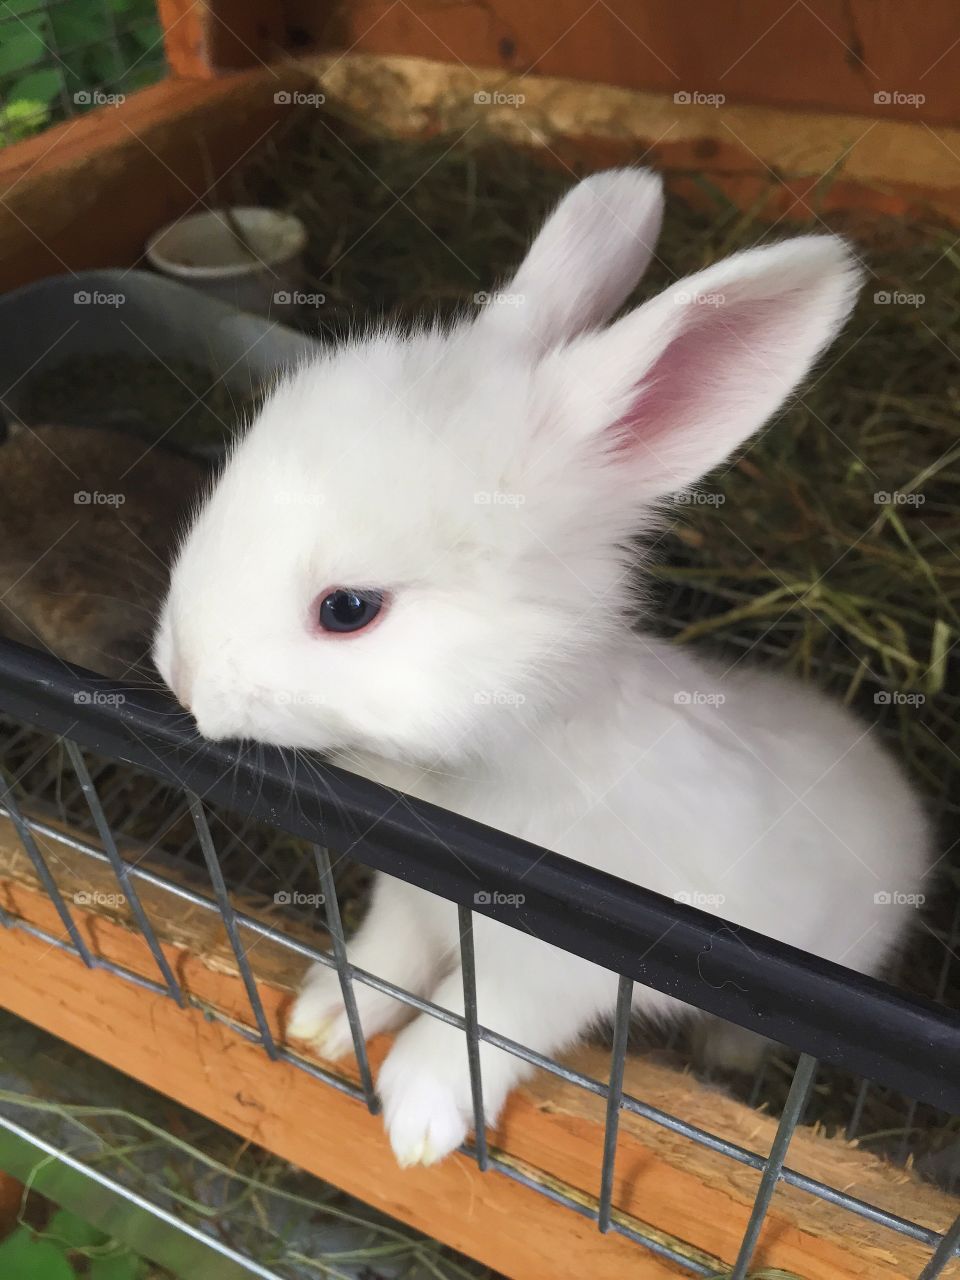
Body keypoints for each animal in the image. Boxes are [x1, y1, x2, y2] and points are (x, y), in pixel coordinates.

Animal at [152, 170, 931, 1172]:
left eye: (349, 609)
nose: (182, 677)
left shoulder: (555, 971)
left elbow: (476, 1026)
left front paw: (418, 1122)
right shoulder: (407, 905)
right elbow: (384, 961)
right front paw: (324, 1020)